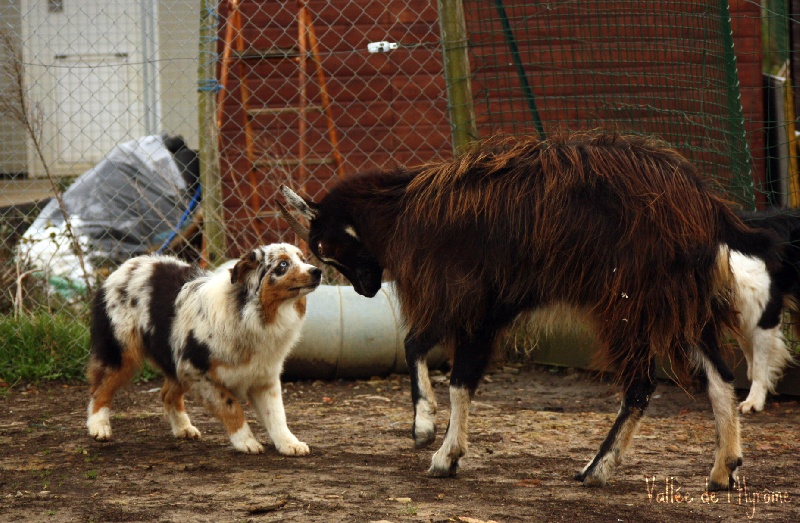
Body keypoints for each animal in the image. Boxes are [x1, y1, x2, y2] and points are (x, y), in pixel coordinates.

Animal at [86, 245, 322, 454]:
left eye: (302, 258)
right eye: (283, 264)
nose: (317, 271)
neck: (250, 314)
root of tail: (126, 265)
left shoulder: (264, 377)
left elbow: (276, 415)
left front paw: (289, 444)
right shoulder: (198, 371)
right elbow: (231, 406)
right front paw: (246, 442)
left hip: (175, 360)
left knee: (167, 395)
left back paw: (183, 428)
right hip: (122, 352)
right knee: (100, 389)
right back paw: (99, 427)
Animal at [280, 131, 776, 492]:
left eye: (325, 247)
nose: (365, 292)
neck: (408, 211)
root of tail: (703, 202)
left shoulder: (474, 304)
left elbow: (457, 378)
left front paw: (444, 454)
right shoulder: (479, 305)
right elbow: (415, 343)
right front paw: (423, 426)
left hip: (630, 304)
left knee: (640, 386)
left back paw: (596, 469)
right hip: (682, 301)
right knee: (720, 377)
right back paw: (724, 469)